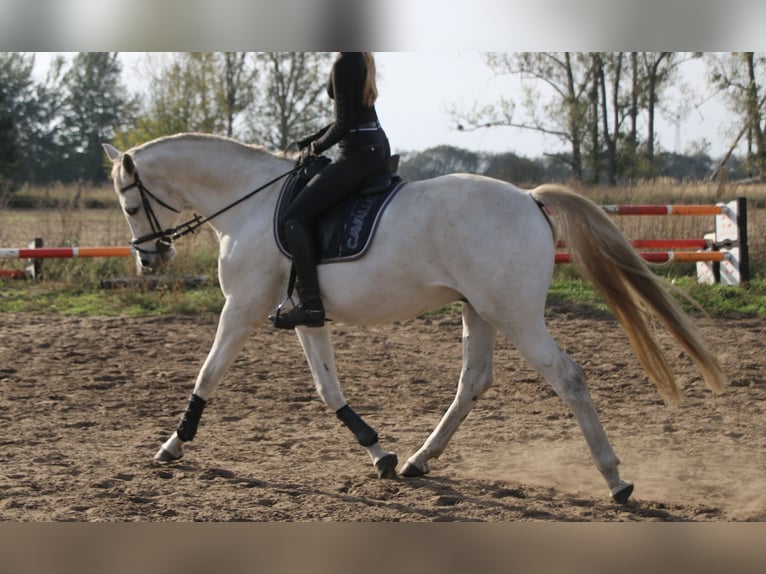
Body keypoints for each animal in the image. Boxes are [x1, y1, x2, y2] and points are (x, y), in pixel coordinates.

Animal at [102, 134, 728, 504]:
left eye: (130, 201)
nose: (148, 258)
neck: (250, 205)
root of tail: (529, 198)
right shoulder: (305, 316)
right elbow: (328, 388)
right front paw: (379, 453)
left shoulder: (243, 308)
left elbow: (207, 375)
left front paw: (172, 446)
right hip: (479, 310)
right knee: (473, 381)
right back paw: (419, 462)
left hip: (516, 314)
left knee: (567, 377)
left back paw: (616, 480)